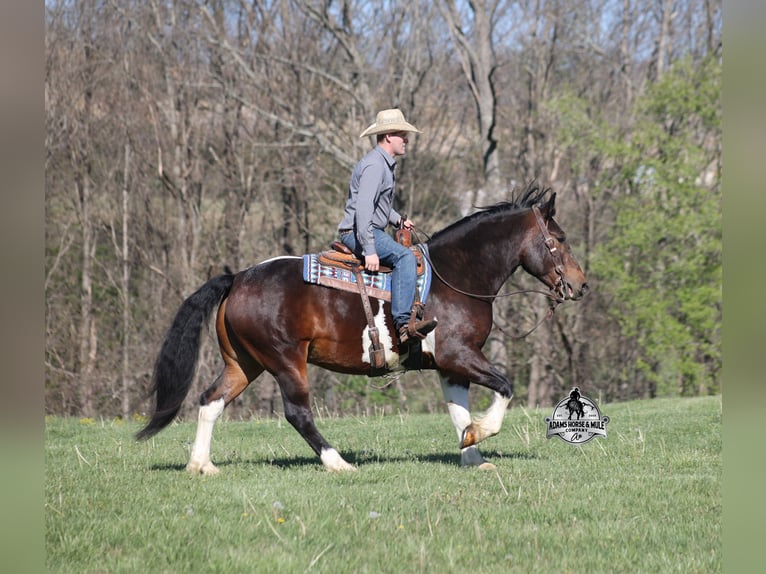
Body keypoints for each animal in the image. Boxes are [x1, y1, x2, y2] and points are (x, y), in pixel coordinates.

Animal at [137, 185, 588, 472]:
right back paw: (338, 463)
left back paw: (201, 465)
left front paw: (472, 452)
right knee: (297, 413)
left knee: (210, 401)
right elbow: (504, 388)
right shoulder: (459, 354)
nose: (581, 285)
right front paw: (481, 434)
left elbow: (458, 411)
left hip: (245, 362)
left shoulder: (450, 366)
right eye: (561, 238)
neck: (456, 276)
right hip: (285, 361)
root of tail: (239, 278)